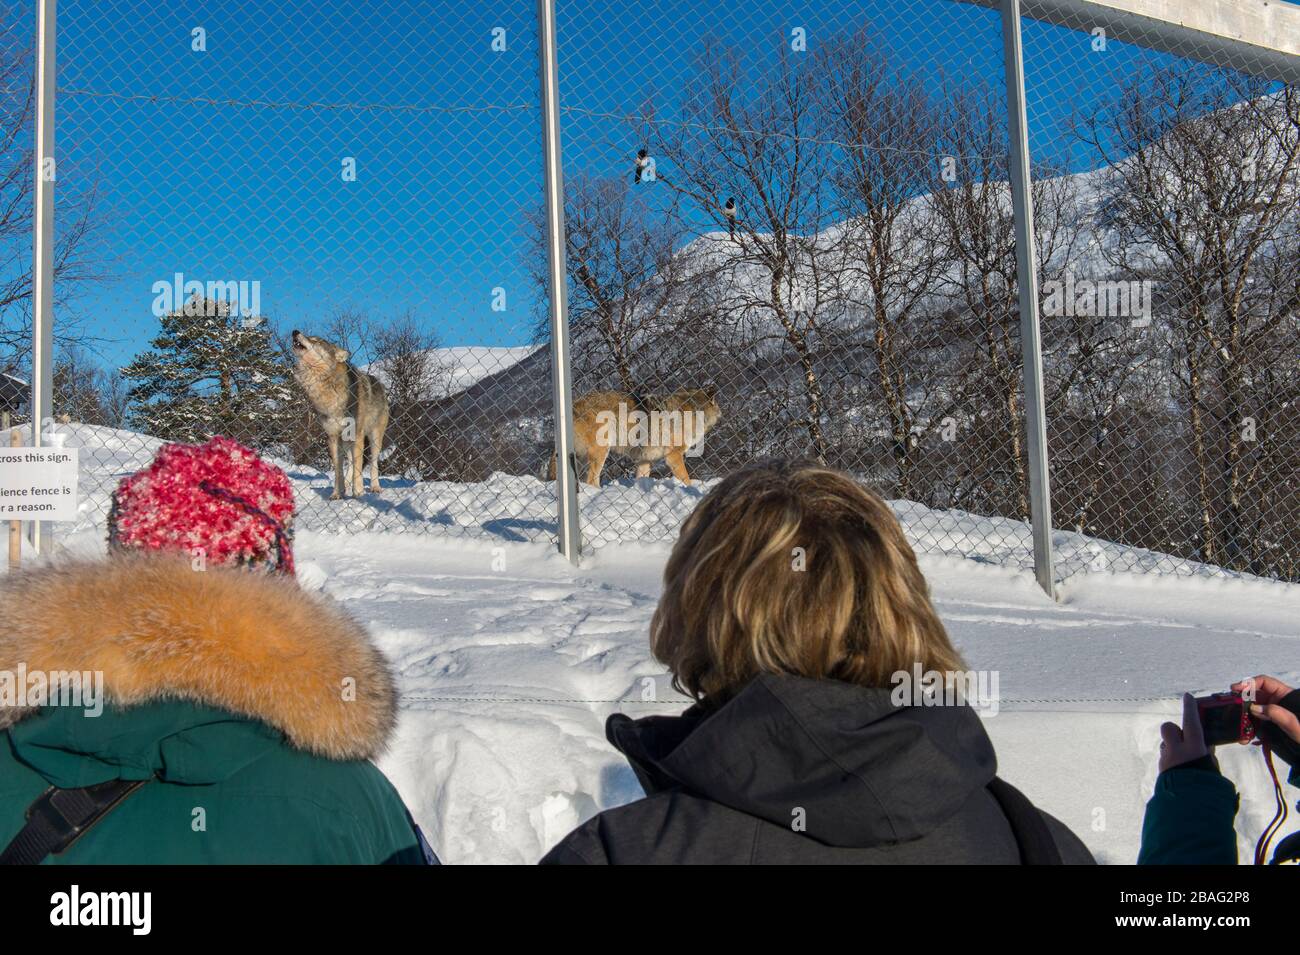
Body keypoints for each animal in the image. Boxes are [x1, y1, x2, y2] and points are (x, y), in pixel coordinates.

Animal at [291, 330, 390, 499]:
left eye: (317, 340)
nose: (295, 331)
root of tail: (380, 384)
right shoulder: (332, 436)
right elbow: (338, 469)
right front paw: (337, 493)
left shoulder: (357, 434)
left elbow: (358, 468)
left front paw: (359, 492)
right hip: (346, 441)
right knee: (350, 463)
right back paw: (346, 486)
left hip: (374, 438)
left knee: (373, 463)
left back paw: (375, 487)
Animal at [549, 388, 721, 487]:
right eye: (718, 406)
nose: (721, 413)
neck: (694, 411)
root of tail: (572, 405)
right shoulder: (674, 456)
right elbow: (687, 480)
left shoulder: (644, 461)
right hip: (601, 452)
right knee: (591, 480)